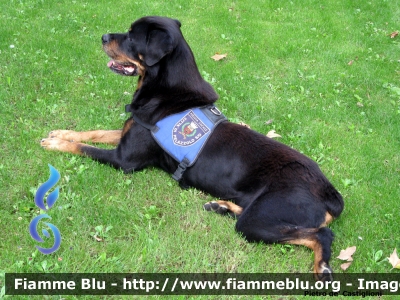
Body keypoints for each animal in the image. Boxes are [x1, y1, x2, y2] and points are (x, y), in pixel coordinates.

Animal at [41, 15, 344, 278]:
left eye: (131, 37)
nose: (103, 37)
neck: (163, 92)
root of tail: (329, 192)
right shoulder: (127, 135)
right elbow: (96, 132)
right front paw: (62, 132)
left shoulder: (124, 160)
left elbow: (85, 148)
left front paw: (55, 142)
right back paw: (220, 206)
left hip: (260, 220)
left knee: (320, 234)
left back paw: (322, 267)